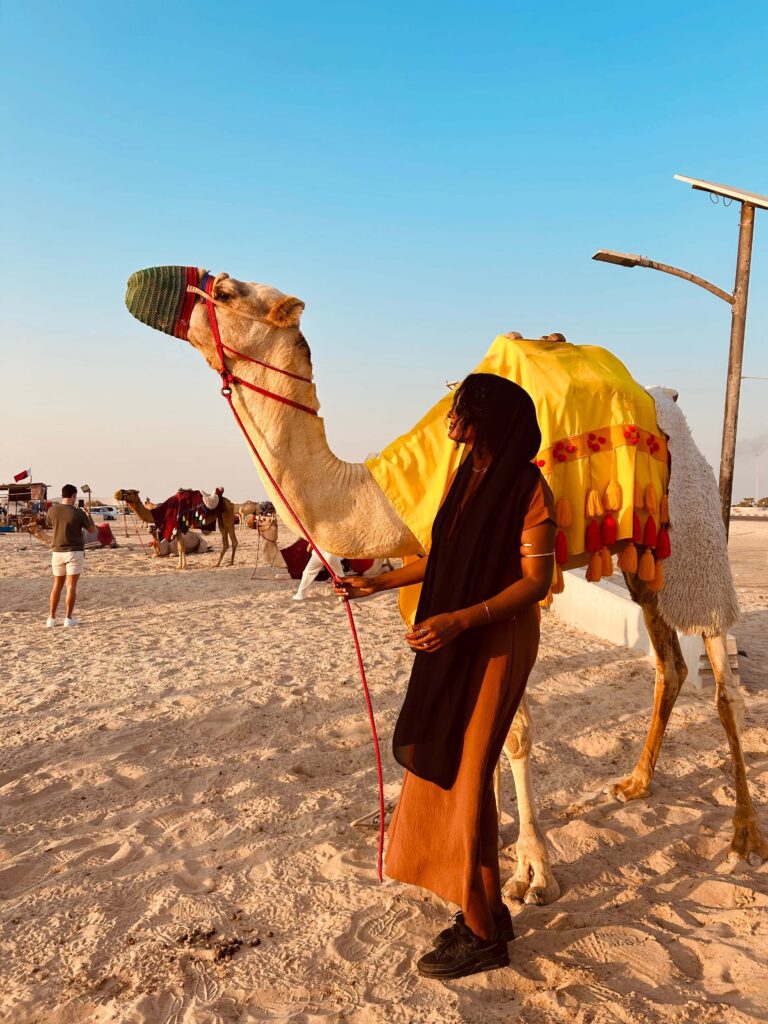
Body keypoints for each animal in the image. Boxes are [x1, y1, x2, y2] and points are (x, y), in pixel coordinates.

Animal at [124, 266, 767, 905]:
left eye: (224, 289)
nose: (137, 283)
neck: (385, 496)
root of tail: (666, 400)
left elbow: (516, 732)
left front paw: (532, 871)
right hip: (643, 556)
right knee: (670, 662)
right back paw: (634, 783)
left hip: (695, 531)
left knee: (722, 675)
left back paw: (743, 835)